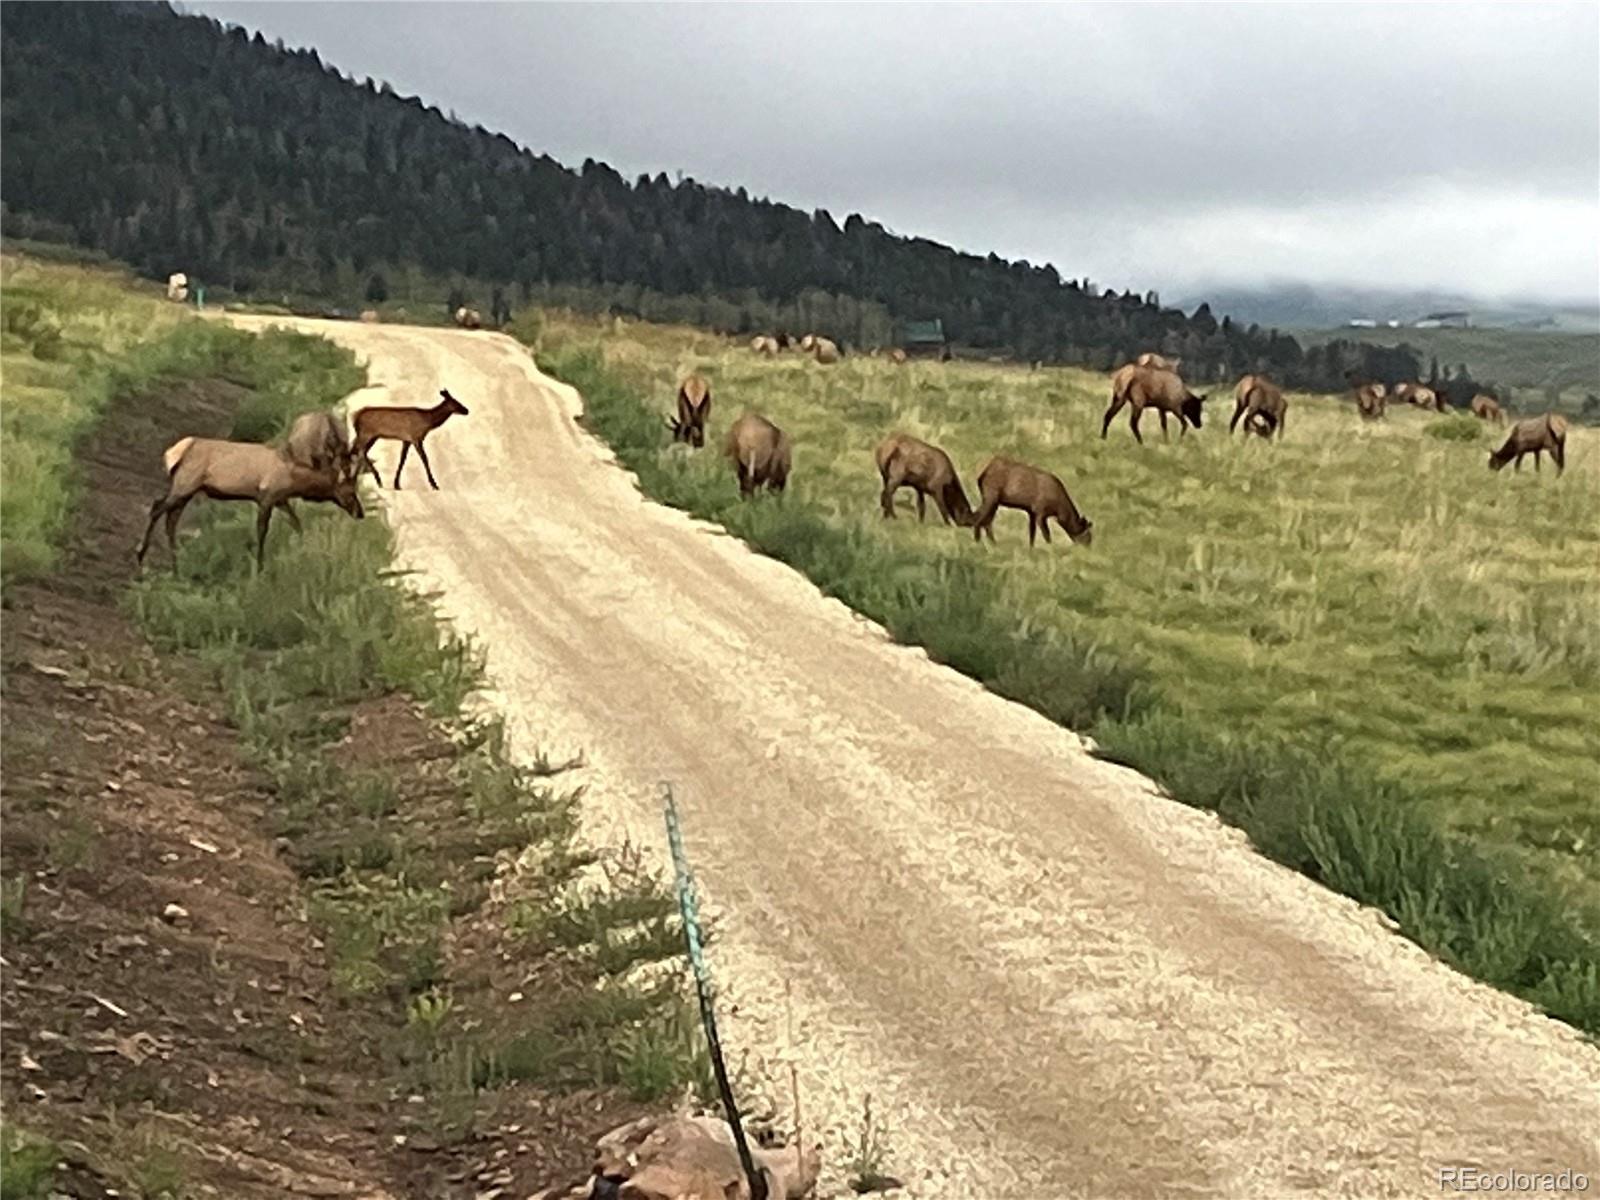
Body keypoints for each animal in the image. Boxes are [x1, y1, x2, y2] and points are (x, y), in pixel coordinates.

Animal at [966, 454, 1094, 550]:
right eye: (1088, 537)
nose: (1088, 549)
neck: (1058, 510)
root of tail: (981, 473)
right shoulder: (1040, 511)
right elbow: (1046, 535)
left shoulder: (1031, 512)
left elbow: (1032, 533)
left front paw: (1031, 549)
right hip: (991, 495)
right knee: (979, 518)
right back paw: (978, 542)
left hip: (994, 501)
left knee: (987, 521)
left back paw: (993, 544)